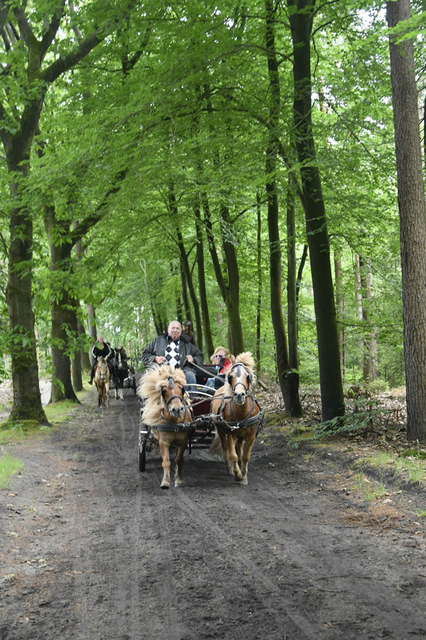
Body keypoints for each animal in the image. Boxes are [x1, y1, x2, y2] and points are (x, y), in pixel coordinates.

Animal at [210, 352, 262, 482]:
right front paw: (237, 474)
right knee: (226, 449)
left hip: (241, 435)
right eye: (231, 376)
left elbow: (245, 456)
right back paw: (229, 468)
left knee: (239, 448)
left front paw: (244, 476)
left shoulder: (251, 436)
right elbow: (232, 455)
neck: (242, 412)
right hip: (221, 432)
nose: (239, 395)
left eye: (248, 376)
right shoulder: (230, 434)